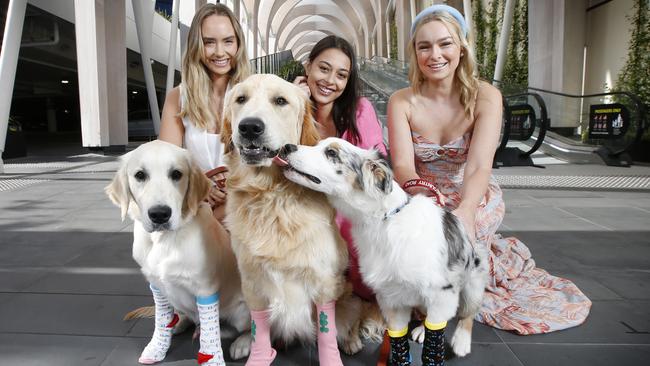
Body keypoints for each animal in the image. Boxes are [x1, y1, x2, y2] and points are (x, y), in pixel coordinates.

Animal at [105, 140, 249, 364]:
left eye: (176, 174)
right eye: (140, 175)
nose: (159, 214)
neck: (164, 239)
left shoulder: (205, 289)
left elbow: (210, 331)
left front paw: (213, 358)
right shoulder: (156, 285)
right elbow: (162, 319)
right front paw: (157, 347)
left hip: (242, 310)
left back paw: (242, 343)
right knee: (186, 317)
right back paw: (179, 324)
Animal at [220, 74, 380, 364]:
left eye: (280, 101)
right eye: (241, 99)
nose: (249, 127)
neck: (270, 194)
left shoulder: (324, 281)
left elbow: (327, 331)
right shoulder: (252, 281)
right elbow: (259, 326)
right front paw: (257, 351)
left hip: (348, 296)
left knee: (349, 320)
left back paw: (351, 341)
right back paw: (244, 341)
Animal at [274, 138, 486, 366]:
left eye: (331, 153)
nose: (286, 147)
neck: (382, 221)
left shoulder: (442, 294)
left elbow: (436, 336)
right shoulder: (390, 298)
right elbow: (398, 338)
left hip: (473, 280)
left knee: (467, 313)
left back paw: (461, 341)